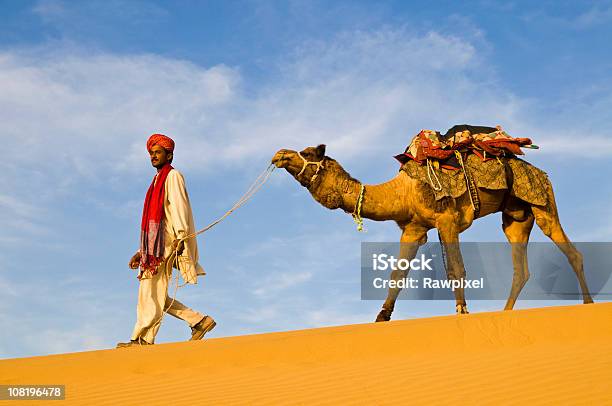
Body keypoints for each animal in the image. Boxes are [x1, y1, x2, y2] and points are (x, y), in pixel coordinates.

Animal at [272, 143, 592, 320]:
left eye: (306, 152)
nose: (279, 155)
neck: (403, 191)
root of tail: (542, 173)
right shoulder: (414, 229)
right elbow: (397, 274)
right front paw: (381, 317)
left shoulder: (447, 219)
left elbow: (456, 269)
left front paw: (462, 312)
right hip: (515, 217)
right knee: (521, 268)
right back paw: (505, 313)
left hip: (542, 201)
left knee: (571, 251)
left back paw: (588, 305)